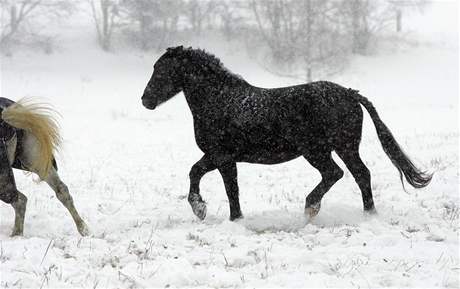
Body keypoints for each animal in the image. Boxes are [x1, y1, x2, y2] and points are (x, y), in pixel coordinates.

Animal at [141, 46, 432, 219]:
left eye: (161, 70)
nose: (145, 100)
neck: (221, 100)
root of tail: (350, 94)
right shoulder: (221, 158)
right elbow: (210, 179)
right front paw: (214, 212)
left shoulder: (221, 156)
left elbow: (216, 182)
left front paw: (208, 210)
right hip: (343, 148)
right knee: (360, 174)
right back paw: (367, 214)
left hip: (319, 150)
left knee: (336, 173)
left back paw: (311, 207)